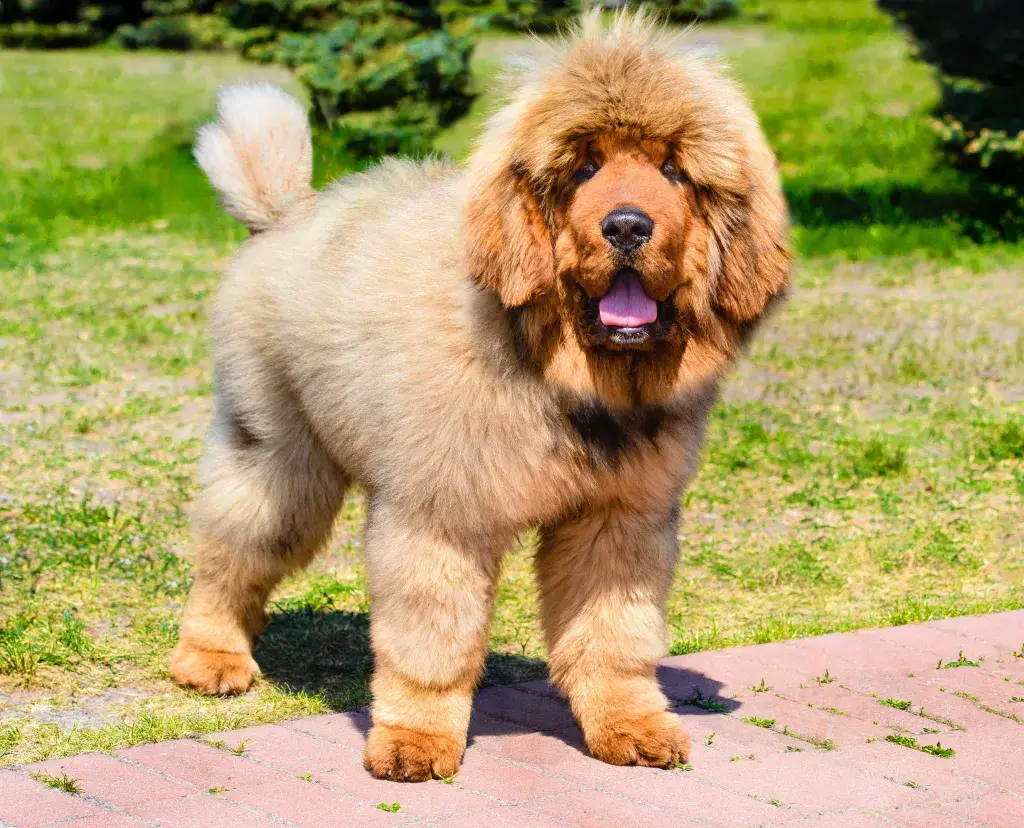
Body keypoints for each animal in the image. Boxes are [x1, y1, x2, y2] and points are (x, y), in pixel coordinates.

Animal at [172, 11, 786, 781]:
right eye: (584, 168)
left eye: (673, 169)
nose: (626, 225)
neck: (559, 373)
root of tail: (286, 213)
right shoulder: (442, 515)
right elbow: (432, 644)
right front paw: (415, 741)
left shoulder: (618, 516)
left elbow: (614, 638)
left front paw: (631, 726)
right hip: (280, 460)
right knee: (230, 551)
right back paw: (212, 656)